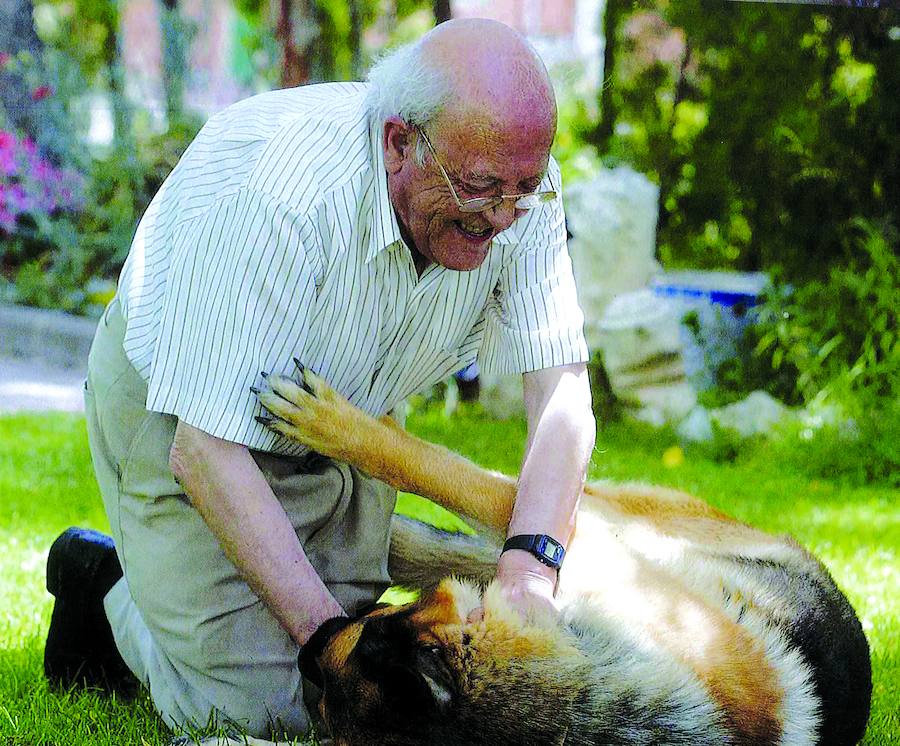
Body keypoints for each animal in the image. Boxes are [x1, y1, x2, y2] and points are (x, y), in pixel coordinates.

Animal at [255, 366, 872, 744]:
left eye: (351, 641)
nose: (309, 644)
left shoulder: (585, 546)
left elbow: (438, 470)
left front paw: (334, 424)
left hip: (602, 518)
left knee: (471, 499)